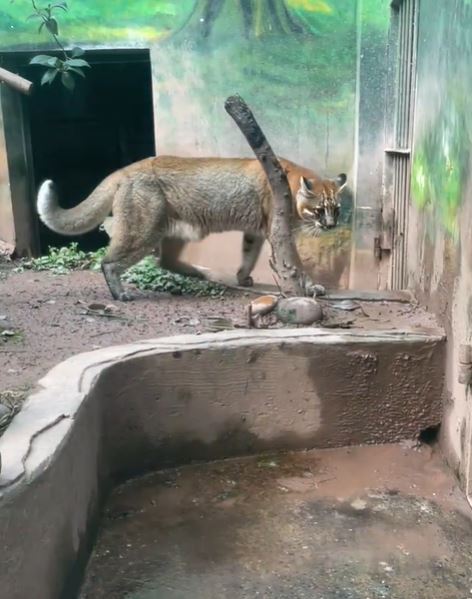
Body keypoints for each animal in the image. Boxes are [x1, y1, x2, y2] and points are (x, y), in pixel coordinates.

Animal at [37, 155, 344, 300]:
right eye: (319, 210)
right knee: (109, 258)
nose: (330, 225)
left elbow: (248, 255)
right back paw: (120, 294)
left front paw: (242, 277)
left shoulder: (255, 232)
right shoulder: (278, 232)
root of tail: (128, 168)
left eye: (337, 209)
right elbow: (295, 264)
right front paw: (312, 287)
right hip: (144, 228)